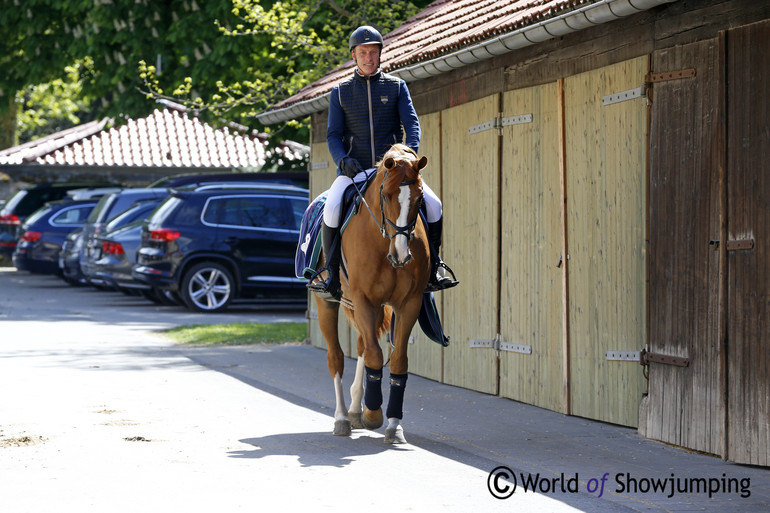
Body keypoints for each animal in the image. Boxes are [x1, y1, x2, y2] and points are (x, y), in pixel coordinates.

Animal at [314, 144, 432, 444]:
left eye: (420, 198)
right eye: (386, 195)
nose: (401, 255)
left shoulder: (408, 303)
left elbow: (397, 360)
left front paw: (394, 424)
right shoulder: (364, 300)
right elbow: (376, 356)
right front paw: (374, 414)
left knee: (362, 348)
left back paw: (355, 411)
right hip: (327, 303)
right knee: (336, 357)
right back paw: (343, 418)